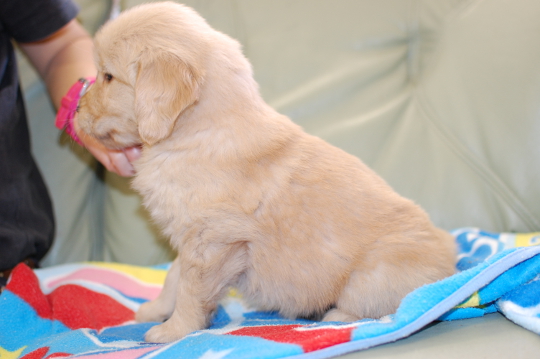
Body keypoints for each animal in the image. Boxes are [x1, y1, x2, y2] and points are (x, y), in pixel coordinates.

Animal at [77, 0, 456, 344]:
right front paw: (156, 310)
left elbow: (191, 291)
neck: (198, 133)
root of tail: (451, 259)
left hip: (372, 275)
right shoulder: (192, 238)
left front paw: (174, 331)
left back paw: (334, 317)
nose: (77, 105)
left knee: (380, 307)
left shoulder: (212, 242)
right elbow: (173, 277)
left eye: (108, 76)